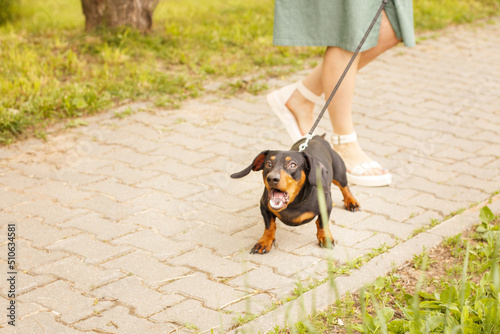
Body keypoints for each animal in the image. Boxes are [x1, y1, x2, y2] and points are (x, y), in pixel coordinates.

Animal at [230, 134, 360, 254]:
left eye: (293, 165)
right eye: (268, 163)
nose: (272, 178)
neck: (294, 203)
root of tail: (317, 137)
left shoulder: (327, 205)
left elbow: (322, 223)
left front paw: (325, 237)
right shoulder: (264, 206)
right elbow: (269, 226)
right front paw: (265, 241)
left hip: (339, 173)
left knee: (344, 186)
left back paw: (351, 202)